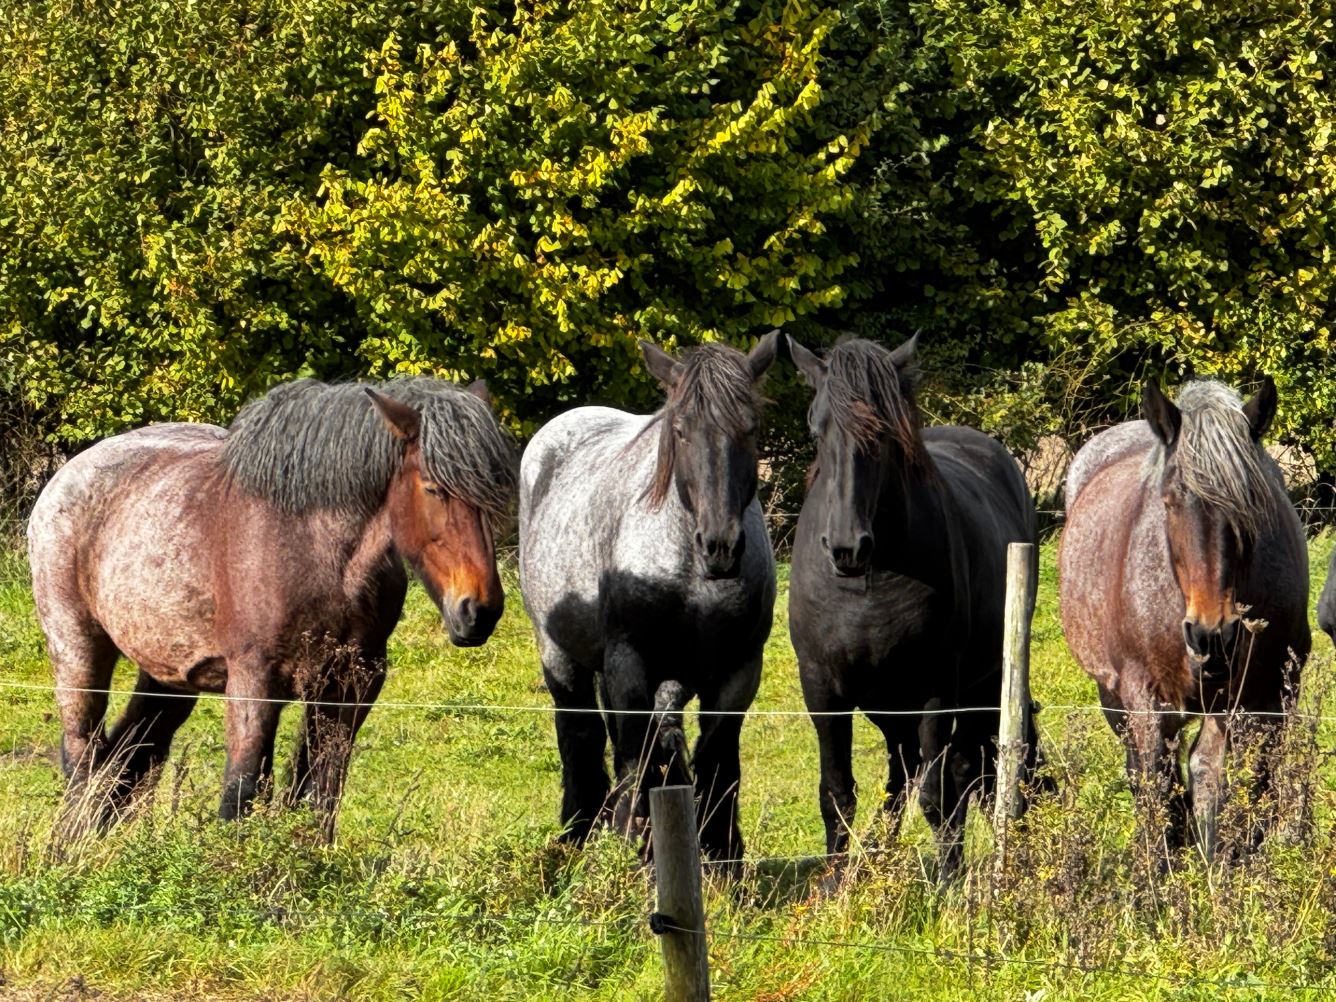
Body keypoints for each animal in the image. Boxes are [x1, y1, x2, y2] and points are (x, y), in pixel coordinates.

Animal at [30, 376, 515, 833]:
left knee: (126, 756)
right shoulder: (255, 680)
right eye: (434, 489)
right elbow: (242, 793)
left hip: (168, 676)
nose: (480, 611)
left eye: (495, 491)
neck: (313, 548)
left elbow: (320, 793)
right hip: (78, 650)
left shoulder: (352, 684)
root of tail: (67, 474)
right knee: (83, 756)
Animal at [515, 334, 780, 865]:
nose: (720, 545)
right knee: (581, 735)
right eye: (680, 431)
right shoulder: (629, 662)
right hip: (560, 654)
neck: (691, 574)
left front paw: (722, 853)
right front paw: (627, 844)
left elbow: (717, 760)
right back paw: (579, 830)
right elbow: (636, 756)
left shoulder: (739, 670)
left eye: (751, 427)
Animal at [1058, 379, 1309, 865]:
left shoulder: (1269, 697)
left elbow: (1246, 790)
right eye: (1171, 498)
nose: (1212, 633)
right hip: (1117, 697)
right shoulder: (1145, 698)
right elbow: (1158, 788)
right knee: (1147, 774)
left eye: (1253, 502)